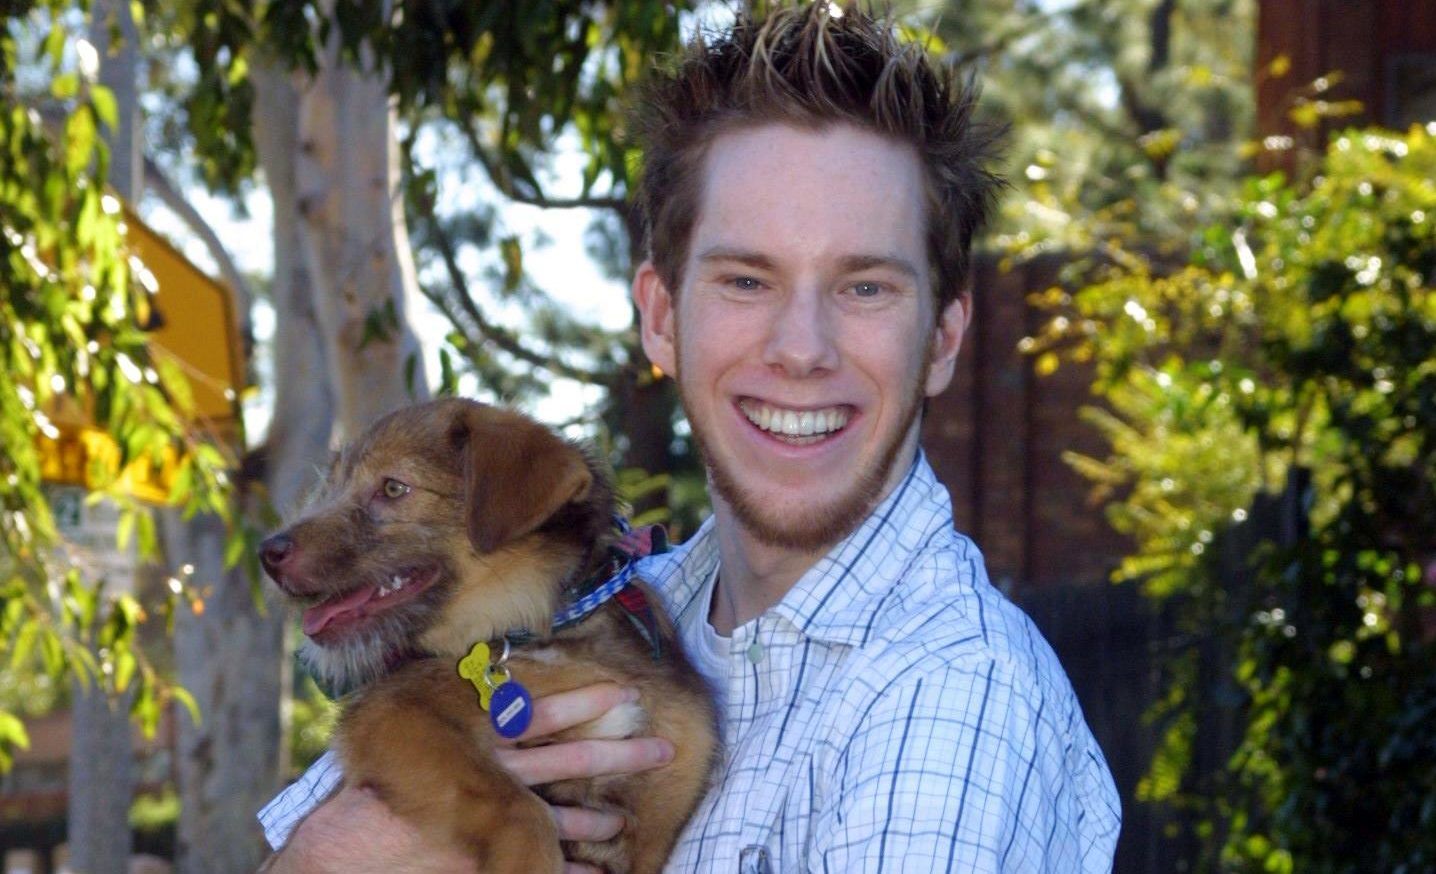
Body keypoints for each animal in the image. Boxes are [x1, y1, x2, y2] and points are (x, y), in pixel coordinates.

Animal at [259, 398, 716, 872]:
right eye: (331, 486)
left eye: (393, 488)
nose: (266, 554)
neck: (532, 633)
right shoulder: (392, 715)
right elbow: (517, 805)